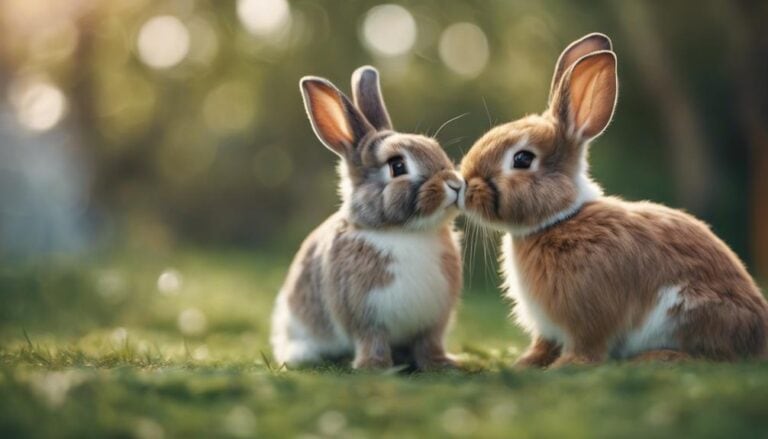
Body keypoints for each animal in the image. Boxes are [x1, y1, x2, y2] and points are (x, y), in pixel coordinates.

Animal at [270, 66, 464, 370]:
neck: (405, 232)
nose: (455, 185)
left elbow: (428, 344)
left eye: (436, 149)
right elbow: (372, 341)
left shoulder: (433, 321)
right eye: (398, 166)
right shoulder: (364, 316)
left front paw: (443, 364)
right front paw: (375, 367)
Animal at [459, 33, 768, 367]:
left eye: (522, 159)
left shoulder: (587, 318)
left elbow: (587, 350)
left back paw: (656, 357)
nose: (464, 184)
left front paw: (563, 366)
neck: (560, 219)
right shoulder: (547, 329)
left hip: (690, 310)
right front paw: (524, 363)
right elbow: (542, 346)